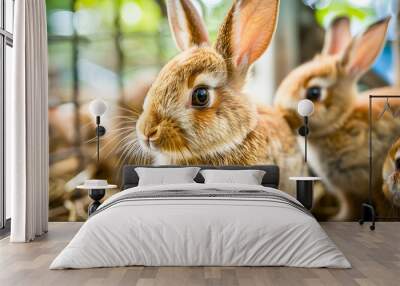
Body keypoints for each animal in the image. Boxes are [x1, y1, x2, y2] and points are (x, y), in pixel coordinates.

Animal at [276, 16, 400, 220]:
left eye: (314, 92)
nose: (282, 115)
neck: (340, 122)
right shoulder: (347, 192)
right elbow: (349, 207)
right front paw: (339, 218)